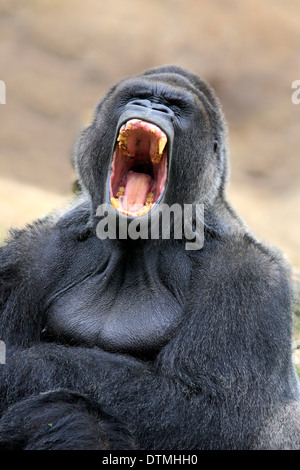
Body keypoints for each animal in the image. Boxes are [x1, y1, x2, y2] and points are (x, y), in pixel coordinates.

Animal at [0, 64, 300, 450]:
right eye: (137, 96)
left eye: (175, 106)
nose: (152, 107)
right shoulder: (25, 258)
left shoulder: (247, 273)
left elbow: (208, 408)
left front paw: (13, 370)